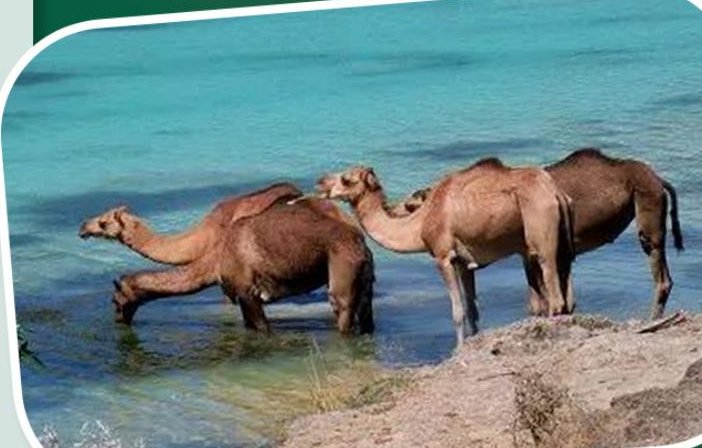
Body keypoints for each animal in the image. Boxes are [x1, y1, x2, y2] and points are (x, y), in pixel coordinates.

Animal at [80, 189, 375, 335]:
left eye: (115, 300)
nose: (118, 320)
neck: (214, 256)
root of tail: (359, 238)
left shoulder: (247, 292)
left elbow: (262, 329)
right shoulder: (236, 294)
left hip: (341, 269)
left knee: (342, 311)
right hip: (365, 277)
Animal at [316, 159, 574, 347]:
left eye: (346, 179)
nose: (320, 183)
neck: (420, 222)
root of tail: (556, 193)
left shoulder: (443, 257)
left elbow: (457, 311)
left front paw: (457, 350)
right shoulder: (463, 261)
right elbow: (471, 309)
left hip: (540, 229)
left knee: (554, 292)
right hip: (562, 241)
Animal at [390, 148, 684, 319]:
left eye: (412, 203)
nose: (394, 206)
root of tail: (659, 180)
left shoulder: (541, 249)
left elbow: (548, 299)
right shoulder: (535, 252)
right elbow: (546, 300)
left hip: (647, 203)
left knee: (657, 264)